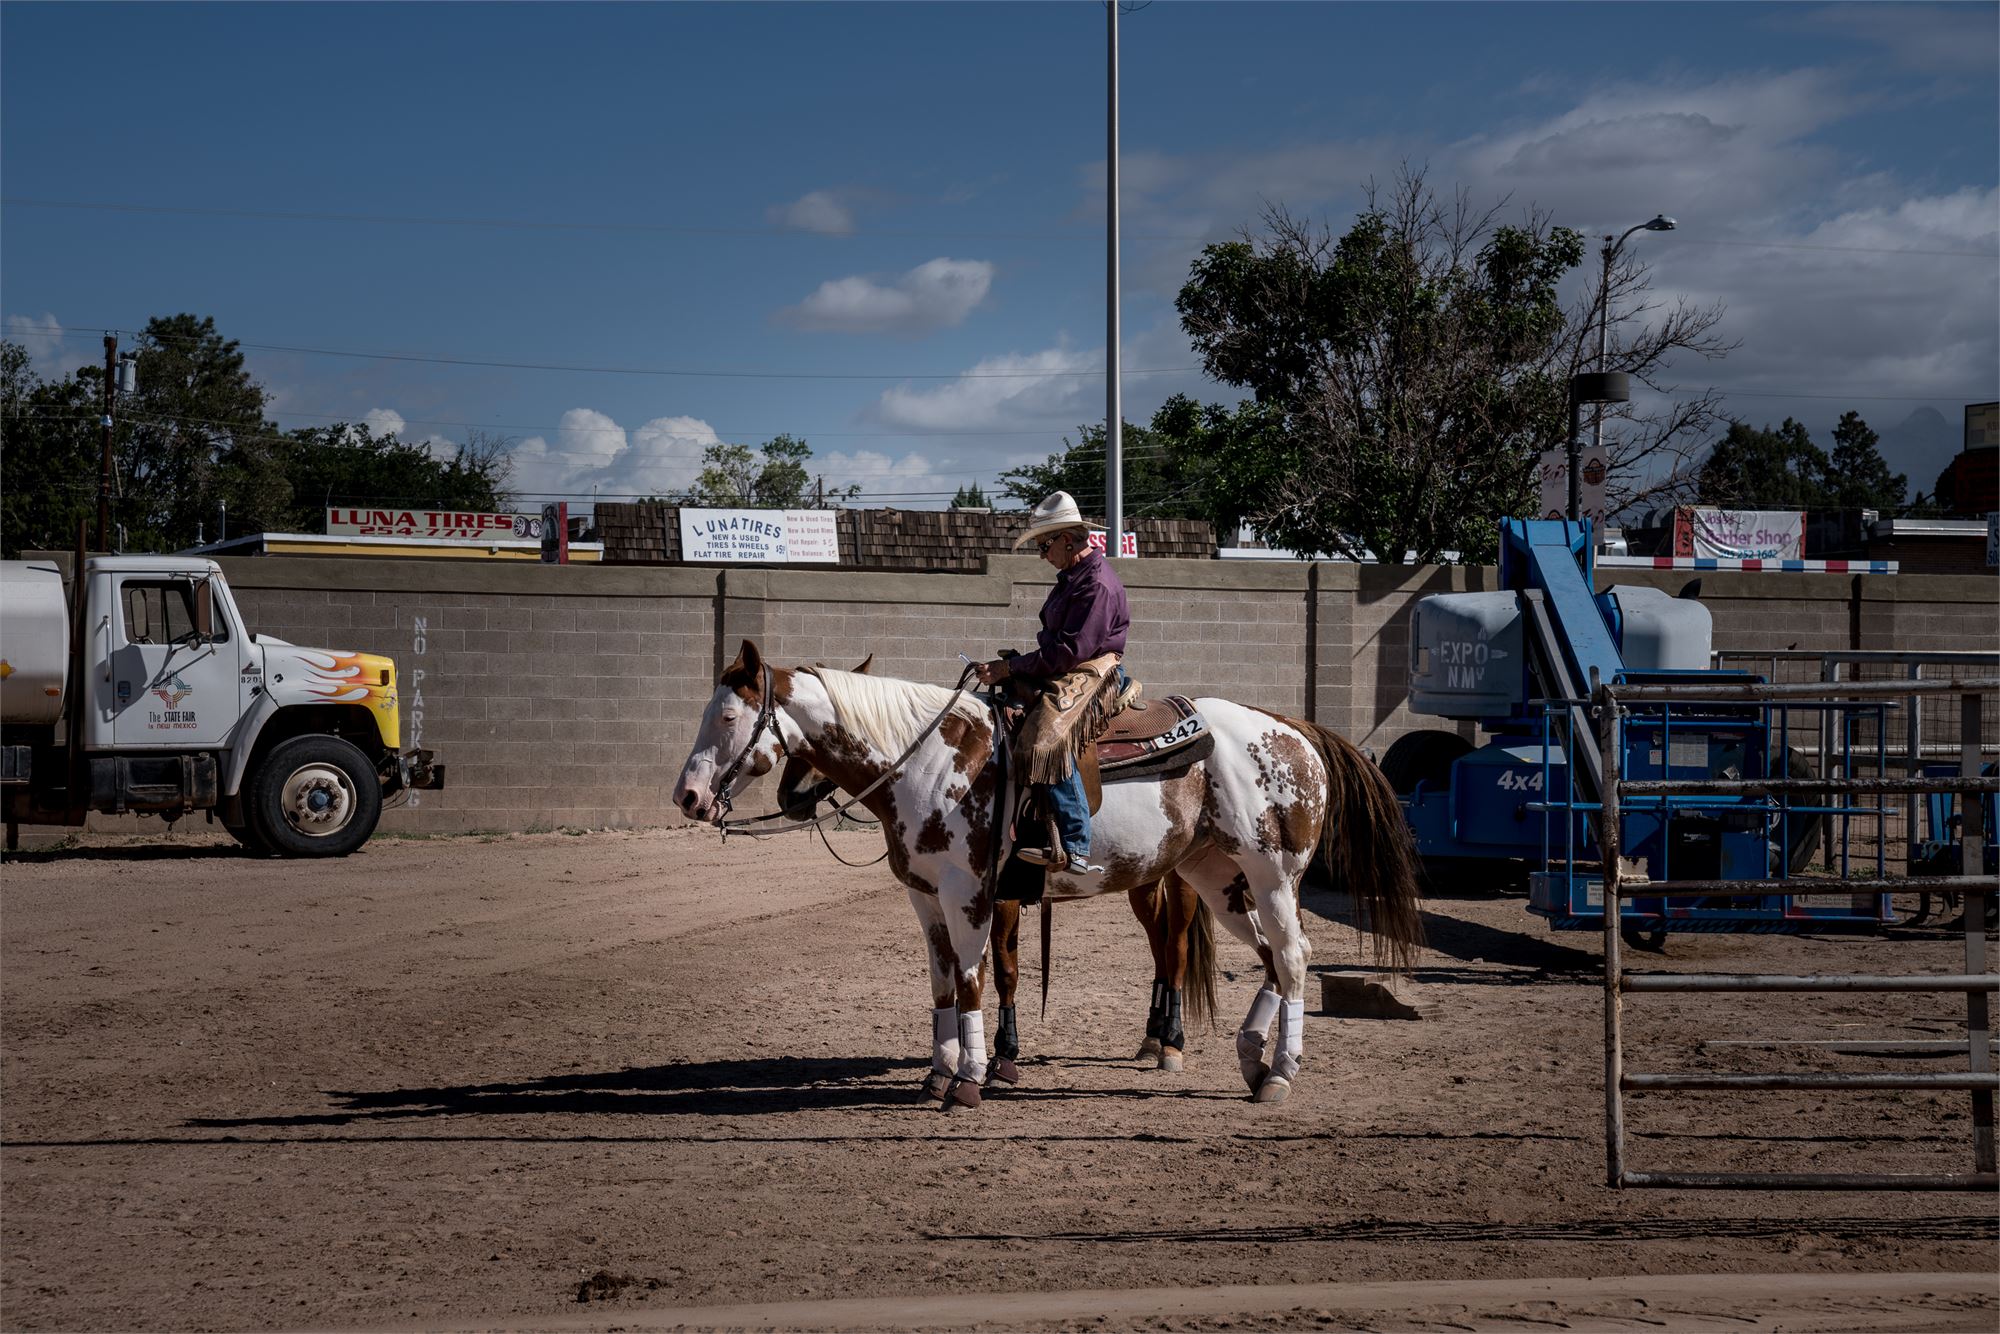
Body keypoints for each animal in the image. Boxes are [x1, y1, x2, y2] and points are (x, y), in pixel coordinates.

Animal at [676, 640, 1424, 1112]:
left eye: (729, 715)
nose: (687, 797)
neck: (932, 758)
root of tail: (1291, 728)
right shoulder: (925, 901)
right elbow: (942, 984)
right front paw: (936, 1074)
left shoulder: (971, 895)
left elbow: (976, 982)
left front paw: (971, 1080)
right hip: (1217, 879)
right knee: (1269, 958)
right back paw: (1250, 1059)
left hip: (1271, 876)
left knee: (1292, 957)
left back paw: (1278, 1075)